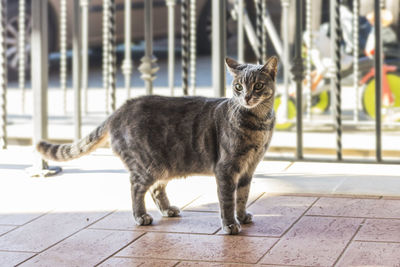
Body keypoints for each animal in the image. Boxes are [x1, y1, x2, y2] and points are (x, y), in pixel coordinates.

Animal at [36, 56, 276, 234]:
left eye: (258, 86)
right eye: (238, 87)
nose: (246, 97)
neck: (259, 124)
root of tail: (119, 109)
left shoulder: (248, 169)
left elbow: (242, 196)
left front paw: (242, 217)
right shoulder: (226, 169)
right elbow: (227, 200)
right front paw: (230, 224)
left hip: (164, 165)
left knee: (156, 190)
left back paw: (168, 210)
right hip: (147, 165)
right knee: (136, 187)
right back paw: (141, 216)